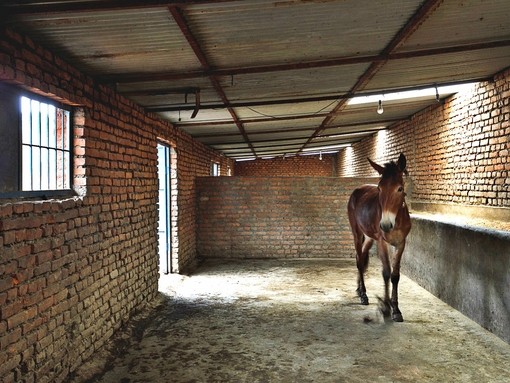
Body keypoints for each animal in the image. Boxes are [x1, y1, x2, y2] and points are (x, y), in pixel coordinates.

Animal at [346, 154, 410, 324]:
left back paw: (359, 288)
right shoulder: (382, 242)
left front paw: (396, 309)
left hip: (369, 237)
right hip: (357, 233)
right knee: (359, 260)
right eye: (379, 188)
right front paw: (386, 308)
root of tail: (358, 190)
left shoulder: (401, 243)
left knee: (361, 257)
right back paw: (363, 294)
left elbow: (395, 275)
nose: (386, 225)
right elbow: (386, 272)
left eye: (400, 188)